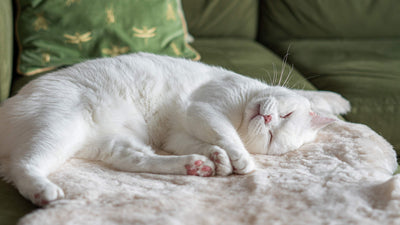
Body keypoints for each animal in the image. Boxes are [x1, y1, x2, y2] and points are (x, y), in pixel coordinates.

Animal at [0, 52, 350, 206]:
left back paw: (195, 165)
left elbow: (204, 141)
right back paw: (42, 191)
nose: (265, 120)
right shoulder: (203, 108)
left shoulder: (178, 134)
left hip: (112, 142)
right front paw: (240, 160)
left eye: (273, 135)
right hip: (59, 128)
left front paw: (219, 159)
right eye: (283, 115)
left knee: (136, 160)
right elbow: (226, 133)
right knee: (22, 166)